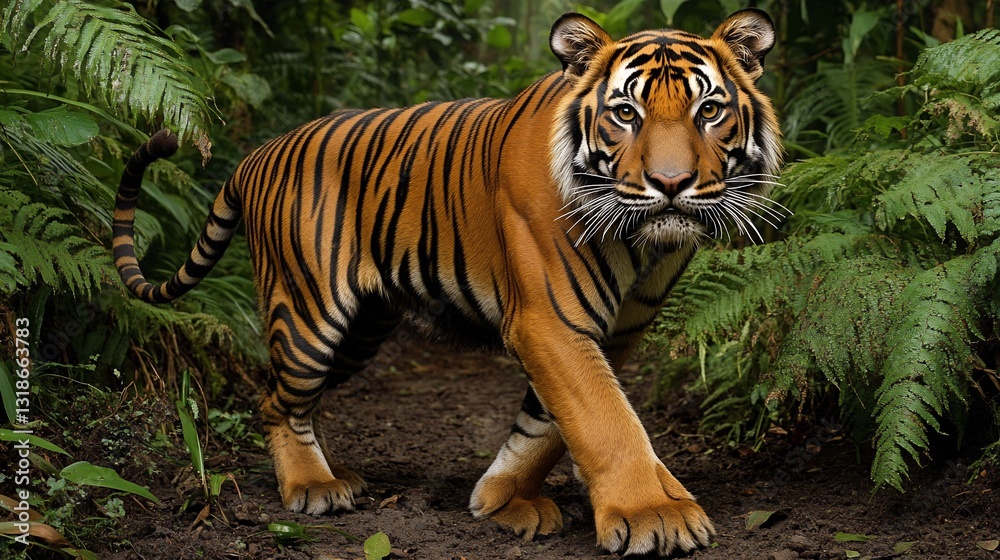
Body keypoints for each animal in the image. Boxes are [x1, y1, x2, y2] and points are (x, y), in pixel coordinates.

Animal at [112, 9, 781, 556]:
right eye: (626, 114)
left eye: (709, 111)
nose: (672, 184)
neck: (645, 246)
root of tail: (256, 154)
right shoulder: (549, 323)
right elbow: (605, 420)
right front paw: (653, 516)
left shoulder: (610, 334)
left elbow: (548, 425)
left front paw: (501, 498)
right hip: (307, 314)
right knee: (275, 400)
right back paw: (311, 485)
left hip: (360, 331)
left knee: (300, 398)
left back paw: (335, 473)